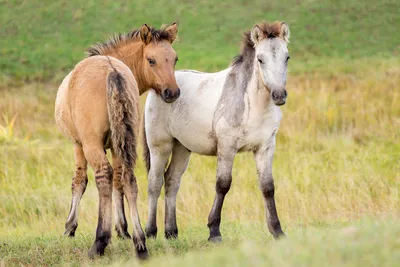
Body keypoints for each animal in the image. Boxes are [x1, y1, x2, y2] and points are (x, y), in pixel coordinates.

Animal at [54, 23, 180, 260]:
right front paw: (123, 229)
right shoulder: (116, 144)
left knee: (103, 176)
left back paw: (99, 242)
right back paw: (140, 243)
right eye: (151, 60)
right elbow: (119, 183)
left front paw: (69, 227)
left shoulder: (78, 145)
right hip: (124, 143)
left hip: (92, 144)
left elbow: (79, 181)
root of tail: (112, 71)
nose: (173, 92)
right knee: (129, 179)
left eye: (174, 59)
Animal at [144, 21, 290, 243]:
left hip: (182, 148)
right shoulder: (227, 147)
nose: (279, 95)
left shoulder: (265, 147)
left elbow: (267, 187)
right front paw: (214, 231)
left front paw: (277, 230)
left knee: (172, 181)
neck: (253, 106)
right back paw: (151, 232)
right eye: (260, 59)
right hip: (160, 146)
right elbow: (223, 185)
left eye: (287, 57)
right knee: (155, 182)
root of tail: (161, 87)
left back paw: (171, 233)